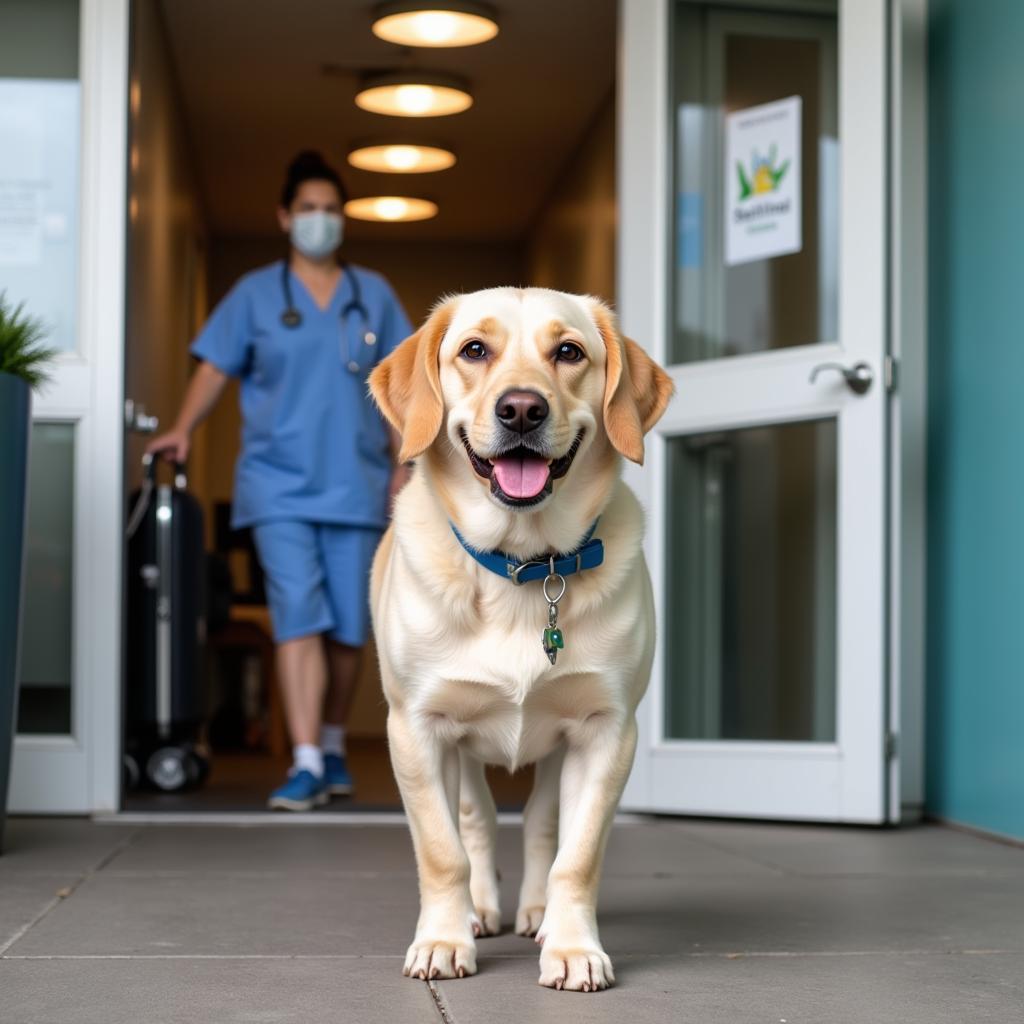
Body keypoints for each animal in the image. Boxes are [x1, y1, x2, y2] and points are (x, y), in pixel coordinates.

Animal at [368, 288, 671, 991]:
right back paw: (480, 909)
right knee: (476, 818)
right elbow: (444, 850)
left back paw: (534, 911)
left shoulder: (606, 731)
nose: (523, 408)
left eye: (570, 352)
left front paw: (573, 946)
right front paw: (443, 940)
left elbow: (574, 855)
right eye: (474, 350)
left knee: (539, 823)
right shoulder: (416, 729)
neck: (524, 567)